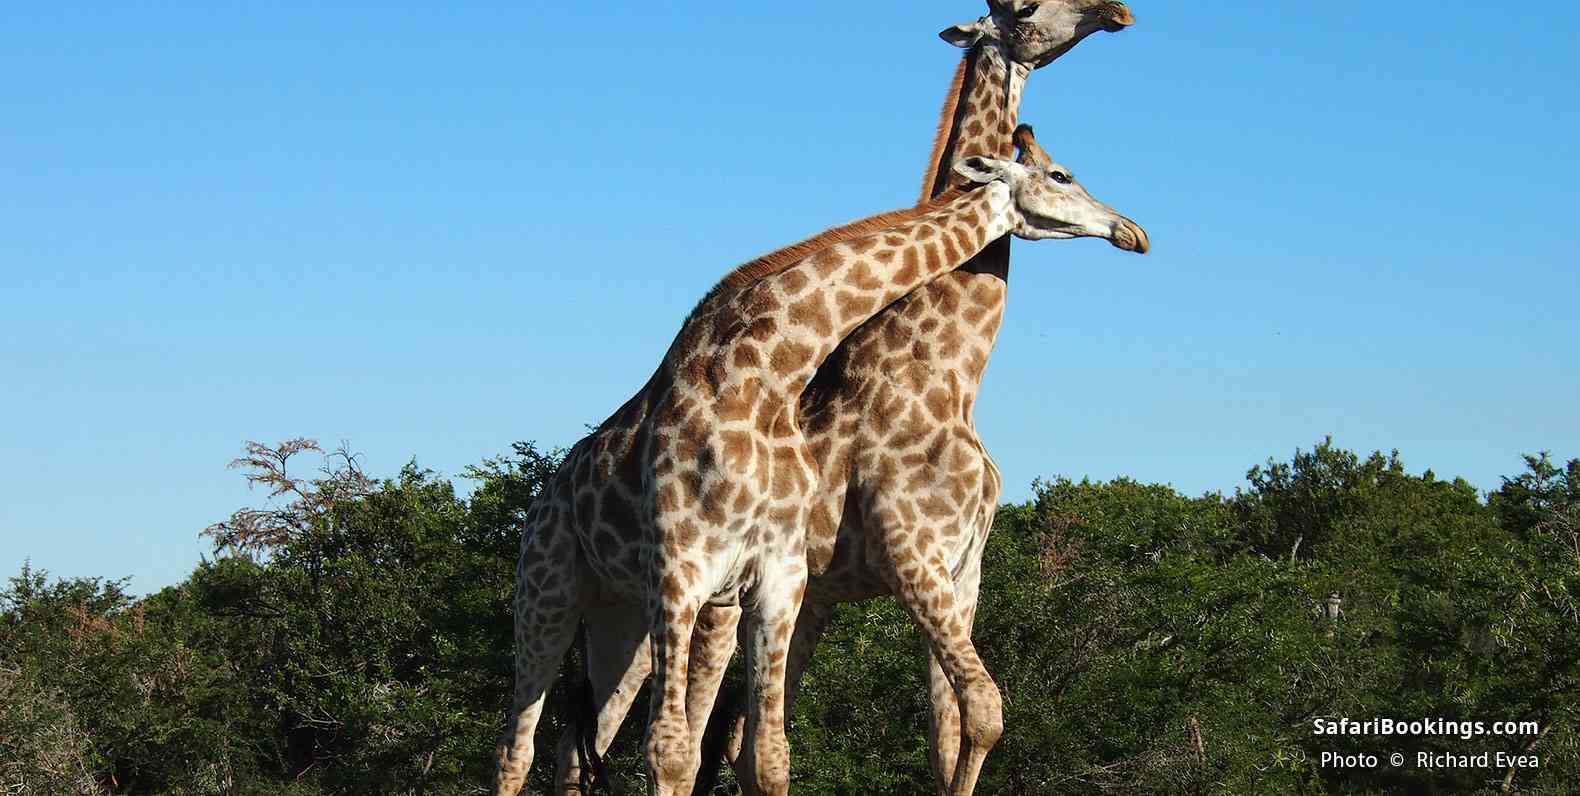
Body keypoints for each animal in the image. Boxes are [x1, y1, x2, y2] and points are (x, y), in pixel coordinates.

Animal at [552, 1, 1141, 794]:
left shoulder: (956, 572)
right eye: (1024, 9)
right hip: (668, 610)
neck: (942, 374)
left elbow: (946, 736)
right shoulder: (911, 556)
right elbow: (983, 714)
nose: (1117, 12)